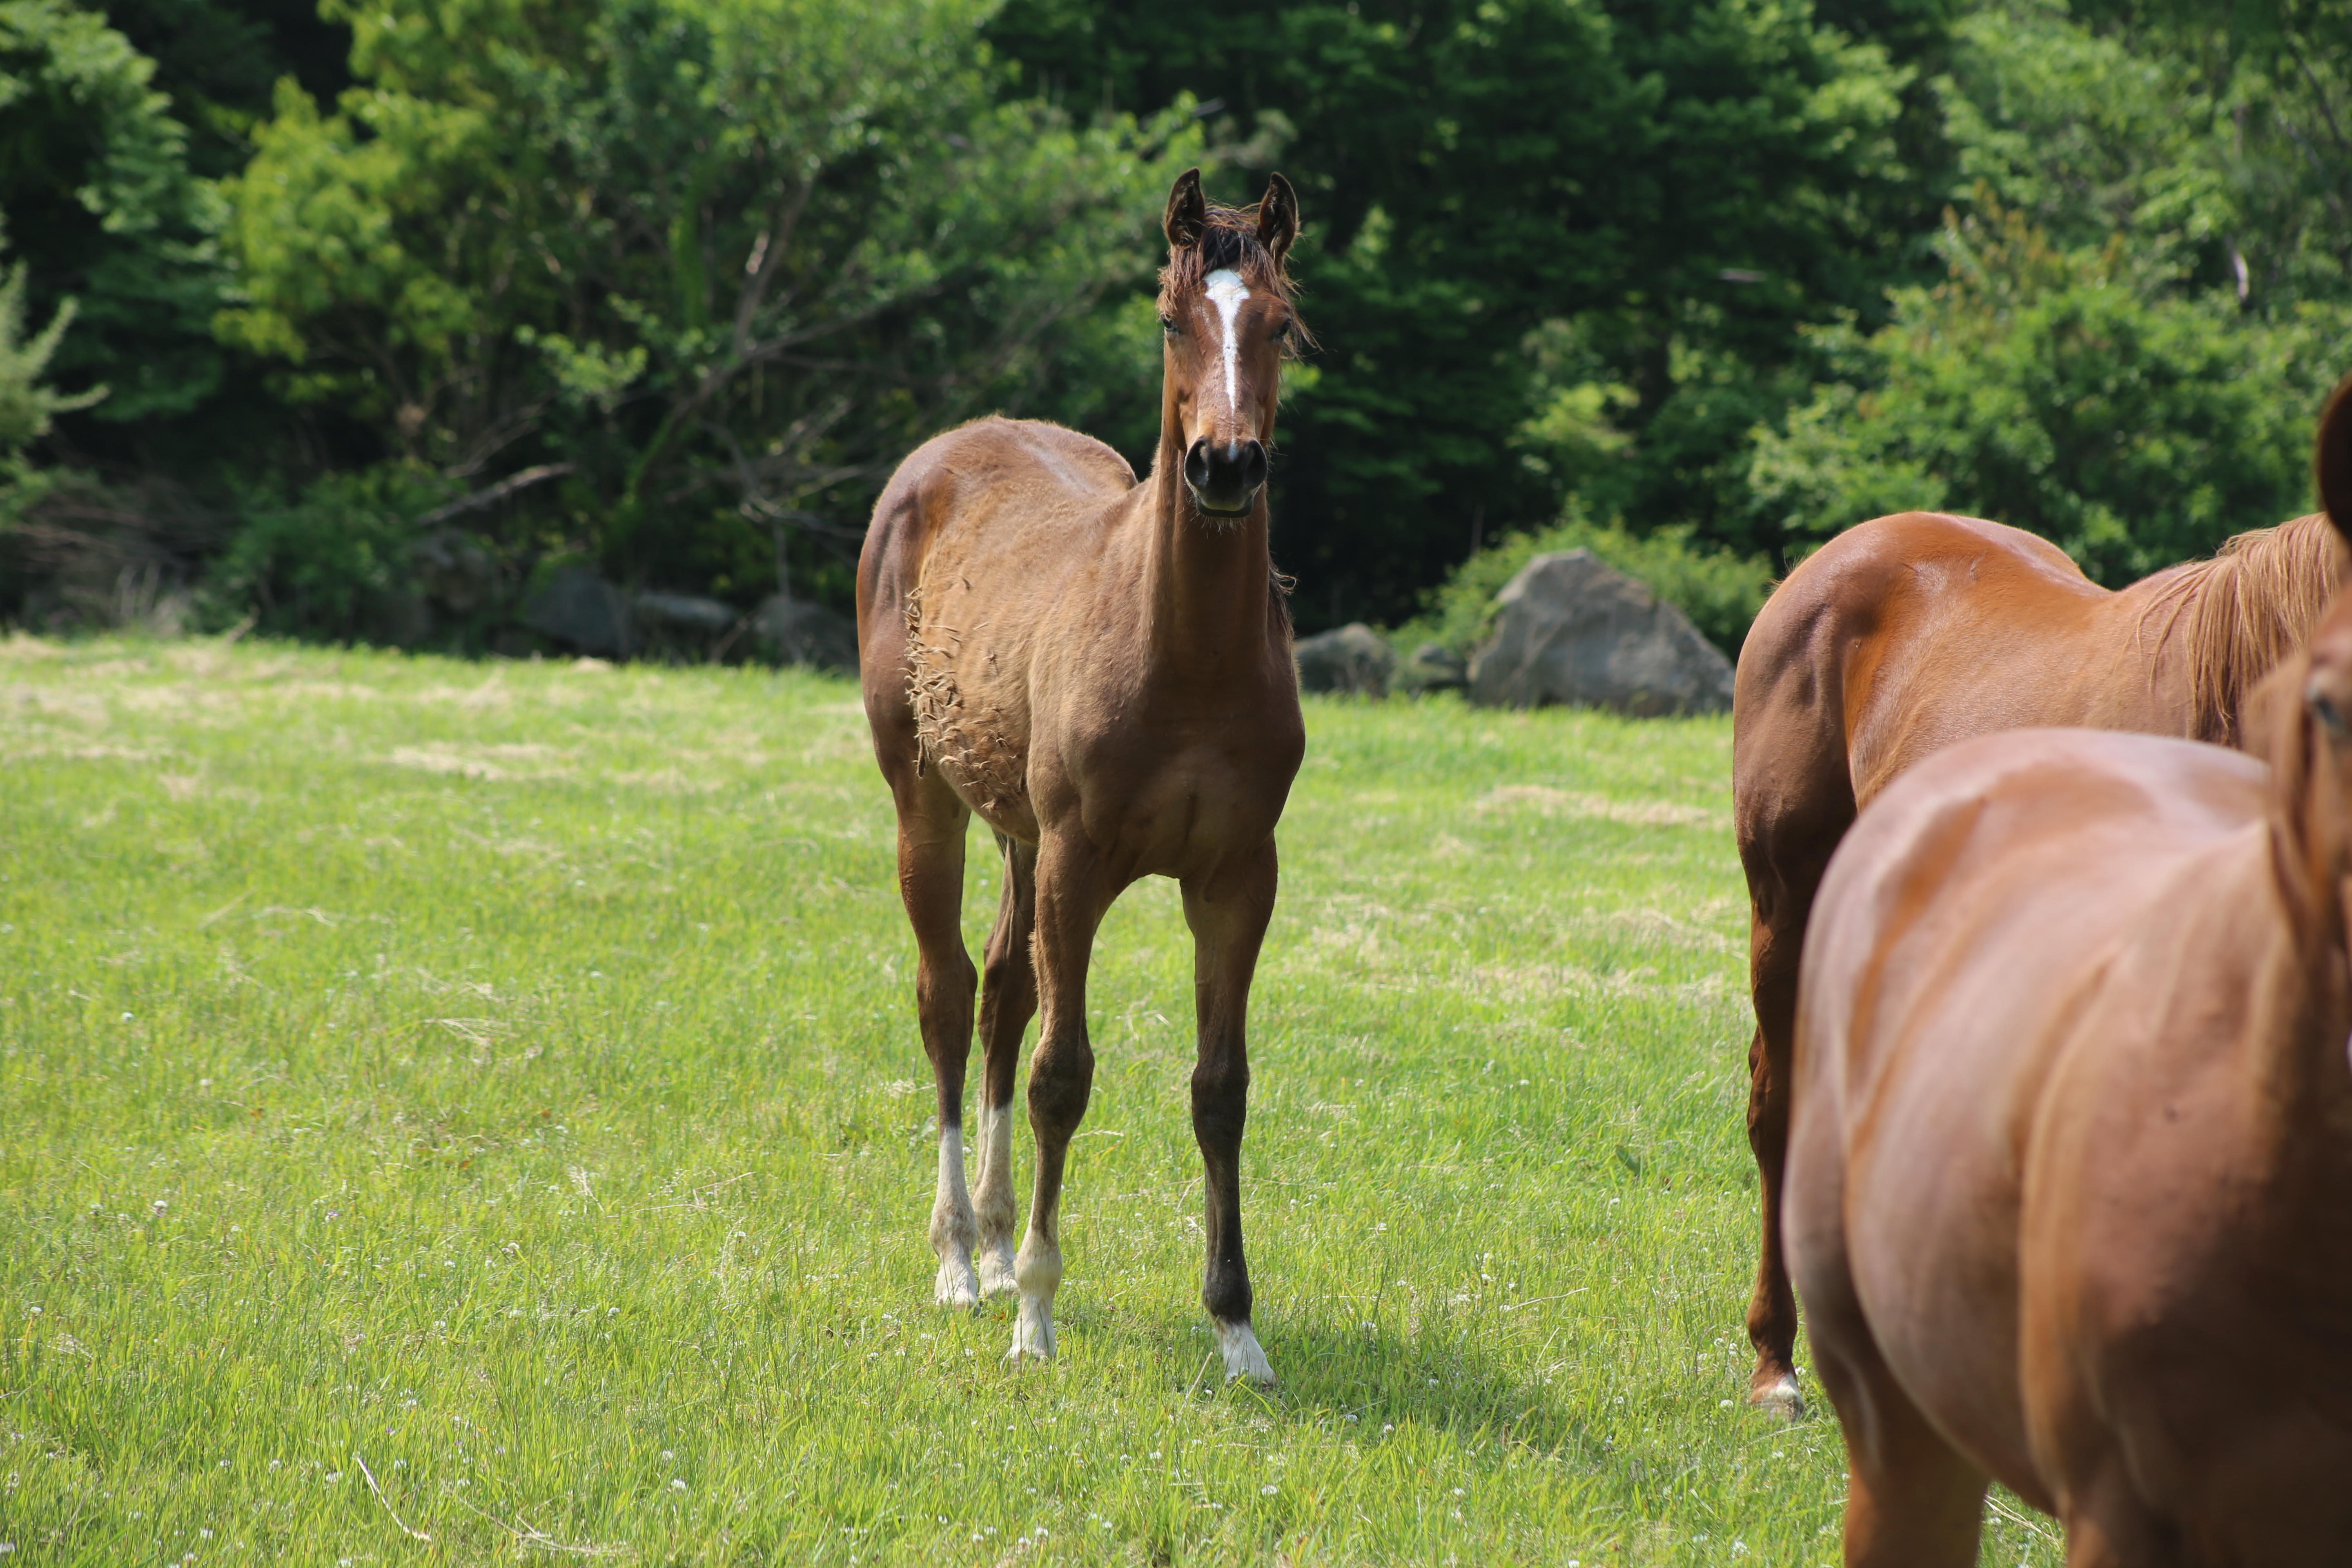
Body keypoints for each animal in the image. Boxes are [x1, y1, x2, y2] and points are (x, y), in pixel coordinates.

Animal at [861, 165, 1317, 1382]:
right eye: (1169, 320)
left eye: (1279, 328)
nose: (1225, 466)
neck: (1187, 660)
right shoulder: (1080, 858)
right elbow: (1063, 1074)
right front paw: (1036, 1314)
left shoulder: (1236, 878)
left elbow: (1221, 1088)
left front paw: (1237, 1328)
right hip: (929, 799)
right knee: (948, 993)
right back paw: (962, 1259)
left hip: (1017, 828)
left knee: (1002, 991)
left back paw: (993, 1234)